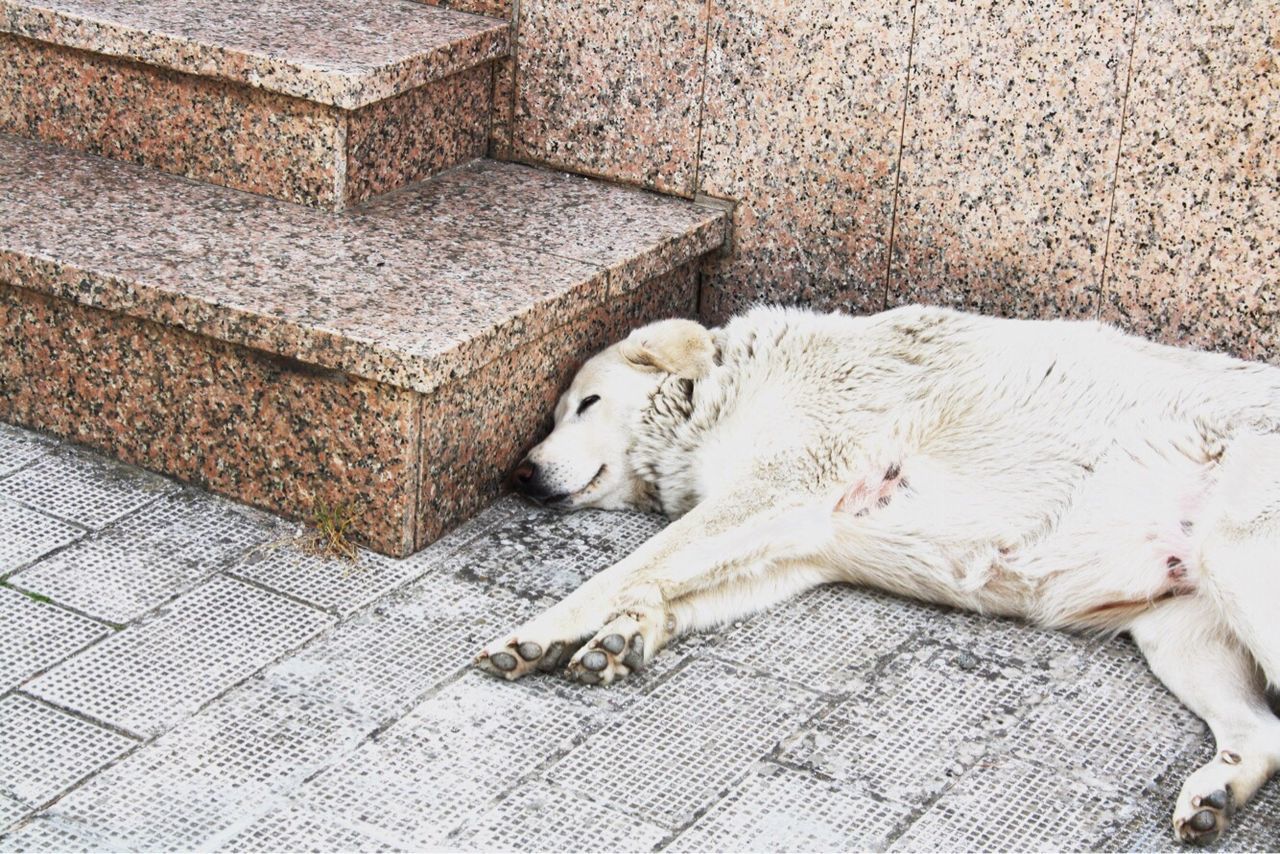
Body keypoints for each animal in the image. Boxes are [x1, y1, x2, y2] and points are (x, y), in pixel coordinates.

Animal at [478, 303, 1280, 845]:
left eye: (585, 405)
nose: (521, 473)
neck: (721, 393)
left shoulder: (774, 488)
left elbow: (624, 570)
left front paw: (537, 632)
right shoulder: (799, 548)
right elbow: (665, 585)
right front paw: (626, 637)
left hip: (1240, 560)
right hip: (1183, 632)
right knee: (1264, 734)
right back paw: (1215, 798)